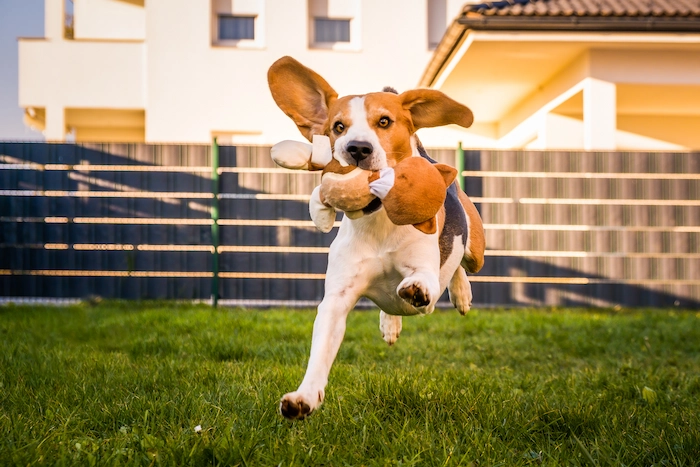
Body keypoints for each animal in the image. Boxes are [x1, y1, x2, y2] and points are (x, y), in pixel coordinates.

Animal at [268, 55, 486, 420]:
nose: (357, 148)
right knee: (396, 302)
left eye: (384, 121)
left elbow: (424, 279)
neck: (379, 220)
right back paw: (392, 323)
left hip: (476, 251)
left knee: (460, 264)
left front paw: (422, 289)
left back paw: (461, 294)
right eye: (338, 127)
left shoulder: (424, 269)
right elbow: (320, 354)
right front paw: (305, 397)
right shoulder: (337, 300)